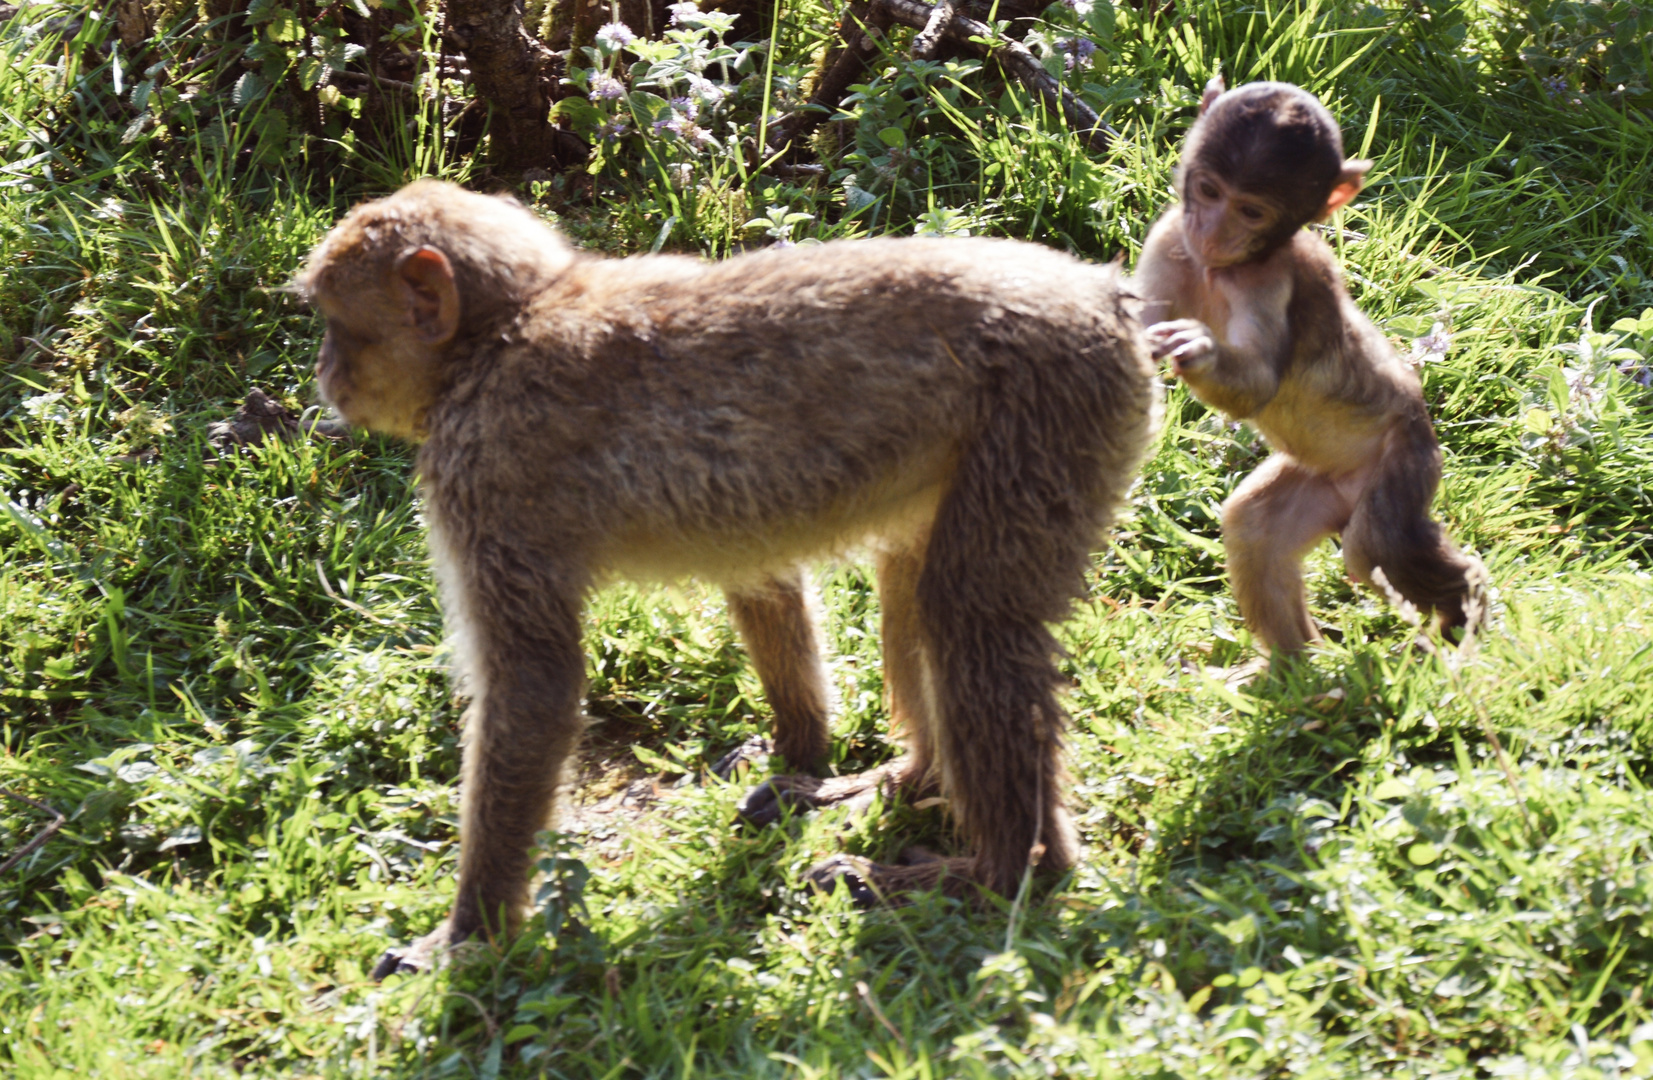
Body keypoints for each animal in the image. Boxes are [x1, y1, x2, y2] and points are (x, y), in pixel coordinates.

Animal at [304, 176, 1170, 965]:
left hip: (1050, 410)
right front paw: (802, 751)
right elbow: (760, 568)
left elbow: (535, 684)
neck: (507, 327)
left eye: (337, 325)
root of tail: (1103, 297)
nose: (325, 375)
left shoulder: (481, 475)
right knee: (913, 585)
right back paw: (912, 777)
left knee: (967, 612)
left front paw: (467, 936)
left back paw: (1006, 872)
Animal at [1137, 77, 1487, 658]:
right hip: (1323, 482)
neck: (1219, 271)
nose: (1211, 232)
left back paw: (1467, 609)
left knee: (1375, 550)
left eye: (1251, 212)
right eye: (1209, 191)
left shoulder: (1271, 280)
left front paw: (1200, 348)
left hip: (1404, 468)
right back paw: (1294, 666)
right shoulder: (1170, 237)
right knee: (1255, 528)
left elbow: (1257, 385)